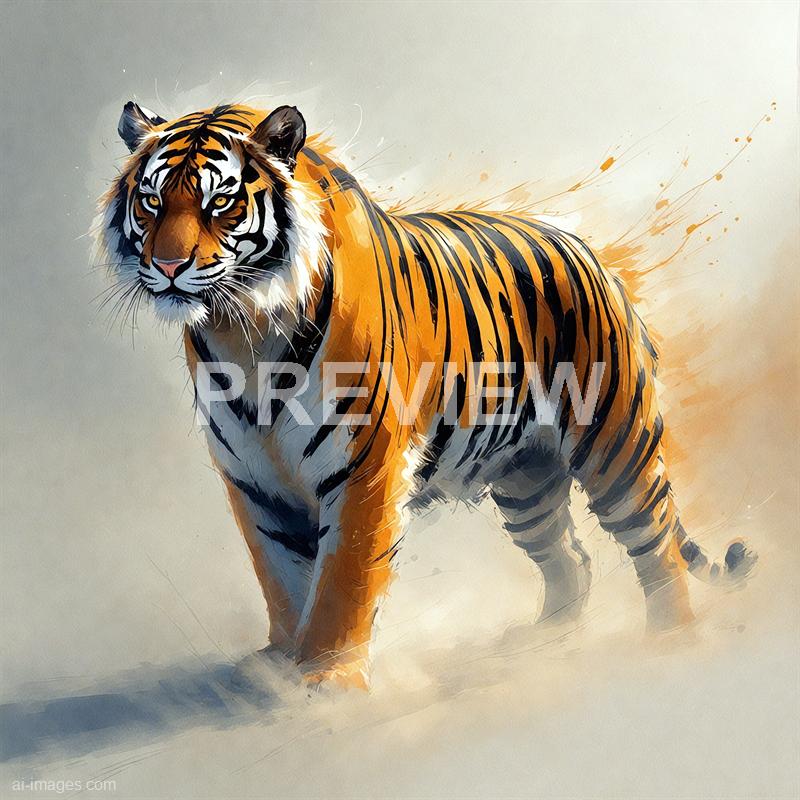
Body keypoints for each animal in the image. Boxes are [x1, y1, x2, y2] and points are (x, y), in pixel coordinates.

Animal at [96, 101, 756, 689]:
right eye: (152, 200)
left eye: (221, 202)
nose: (168, 266)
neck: (242, 332)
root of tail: (592, 256)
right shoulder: (255, 481)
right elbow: (280, 578)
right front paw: (279, 671)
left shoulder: (364, 466)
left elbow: (341, 582)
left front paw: (323, 684)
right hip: (525, 479)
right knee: (570, 558)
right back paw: (545, 643)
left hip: (615, 447)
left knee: (656, 545)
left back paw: (669, 640)